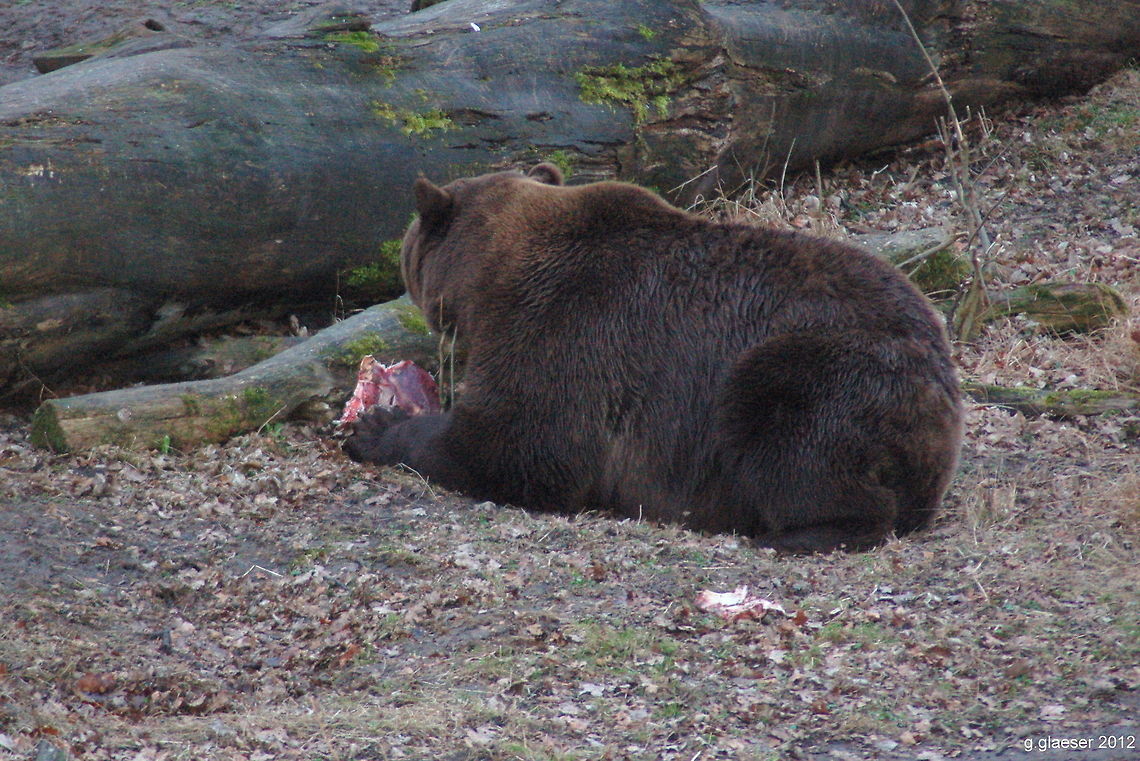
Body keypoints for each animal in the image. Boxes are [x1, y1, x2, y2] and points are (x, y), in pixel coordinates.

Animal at [343, 163, 964, 553]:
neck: (488, 279)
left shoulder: (565, 327)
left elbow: (521, 443)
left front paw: (377, 427)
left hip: (825, 368)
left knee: (791, 434)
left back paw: (789, 532)